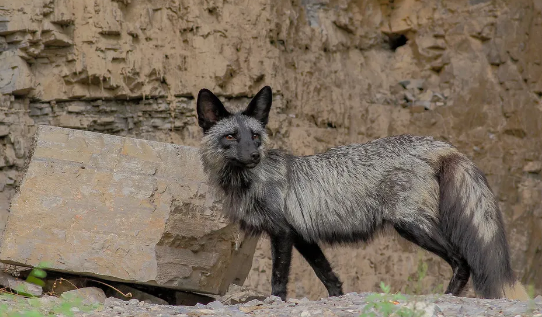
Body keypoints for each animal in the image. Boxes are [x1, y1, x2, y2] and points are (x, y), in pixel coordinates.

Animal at [196, 84, 532, 302]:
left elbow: (278, 277)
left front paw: (275, 301)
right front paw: (337, 299)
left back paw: (447, 297)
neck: (249, 182)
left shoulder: (281, 233)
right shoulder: (302, 236)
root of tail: (435, 143)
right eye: (231, 136)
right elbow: (328, 274)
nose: (254, 155)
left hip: (411, 225)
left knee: (462, 261)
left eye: (255, 136)